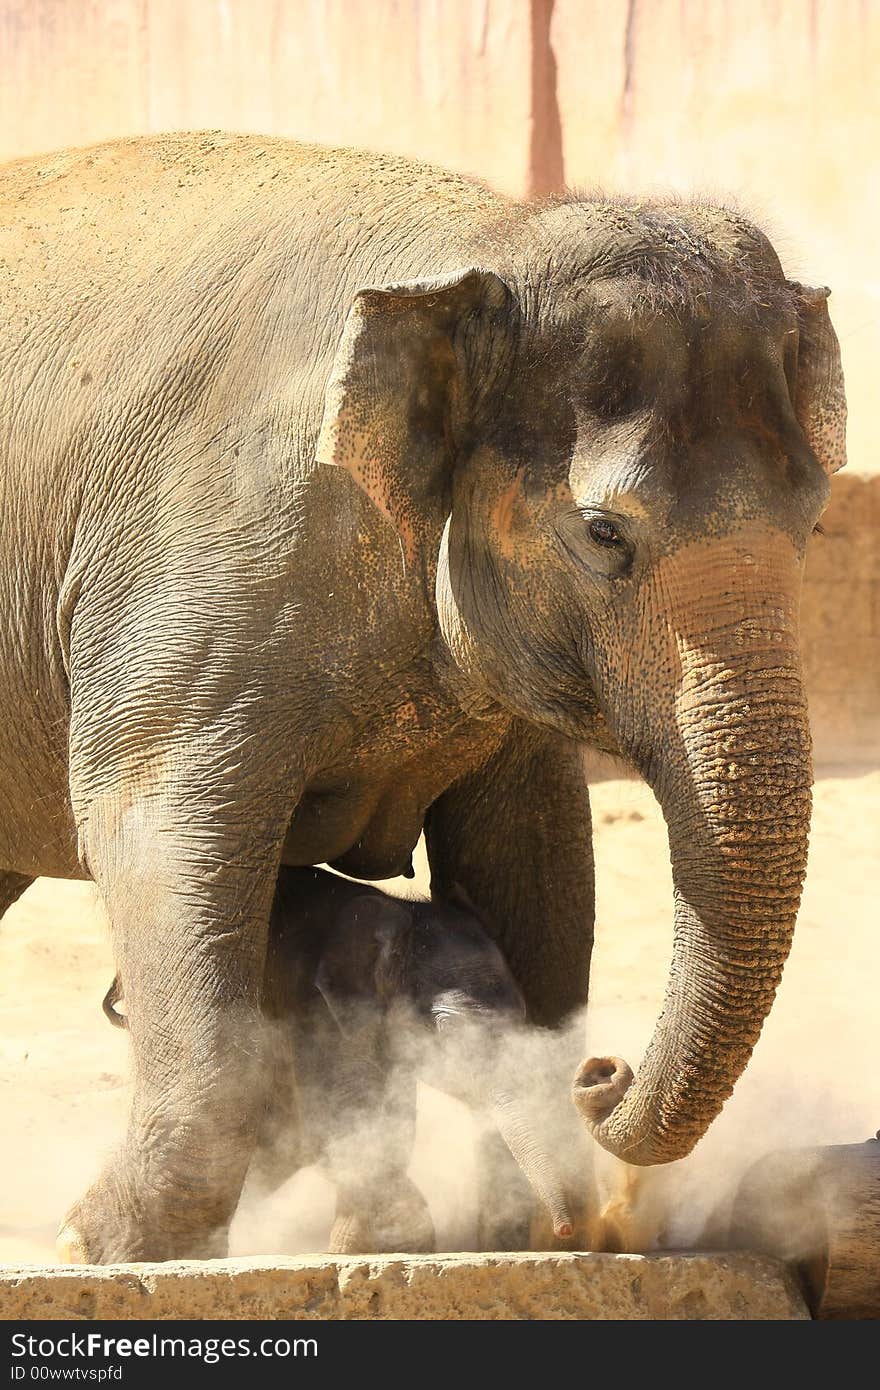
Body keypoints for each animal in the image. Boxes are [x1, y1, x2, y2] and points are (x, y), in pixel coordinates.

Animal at [0, 135, 845, 1267]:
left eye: (812, 522)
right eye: (603, 533)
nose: (604, 1075)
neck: (478, 248)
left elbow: (536, 857)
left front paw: (516, 1236)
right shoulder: (199, 581)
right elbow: (156, 829)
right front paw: (104, 1247)